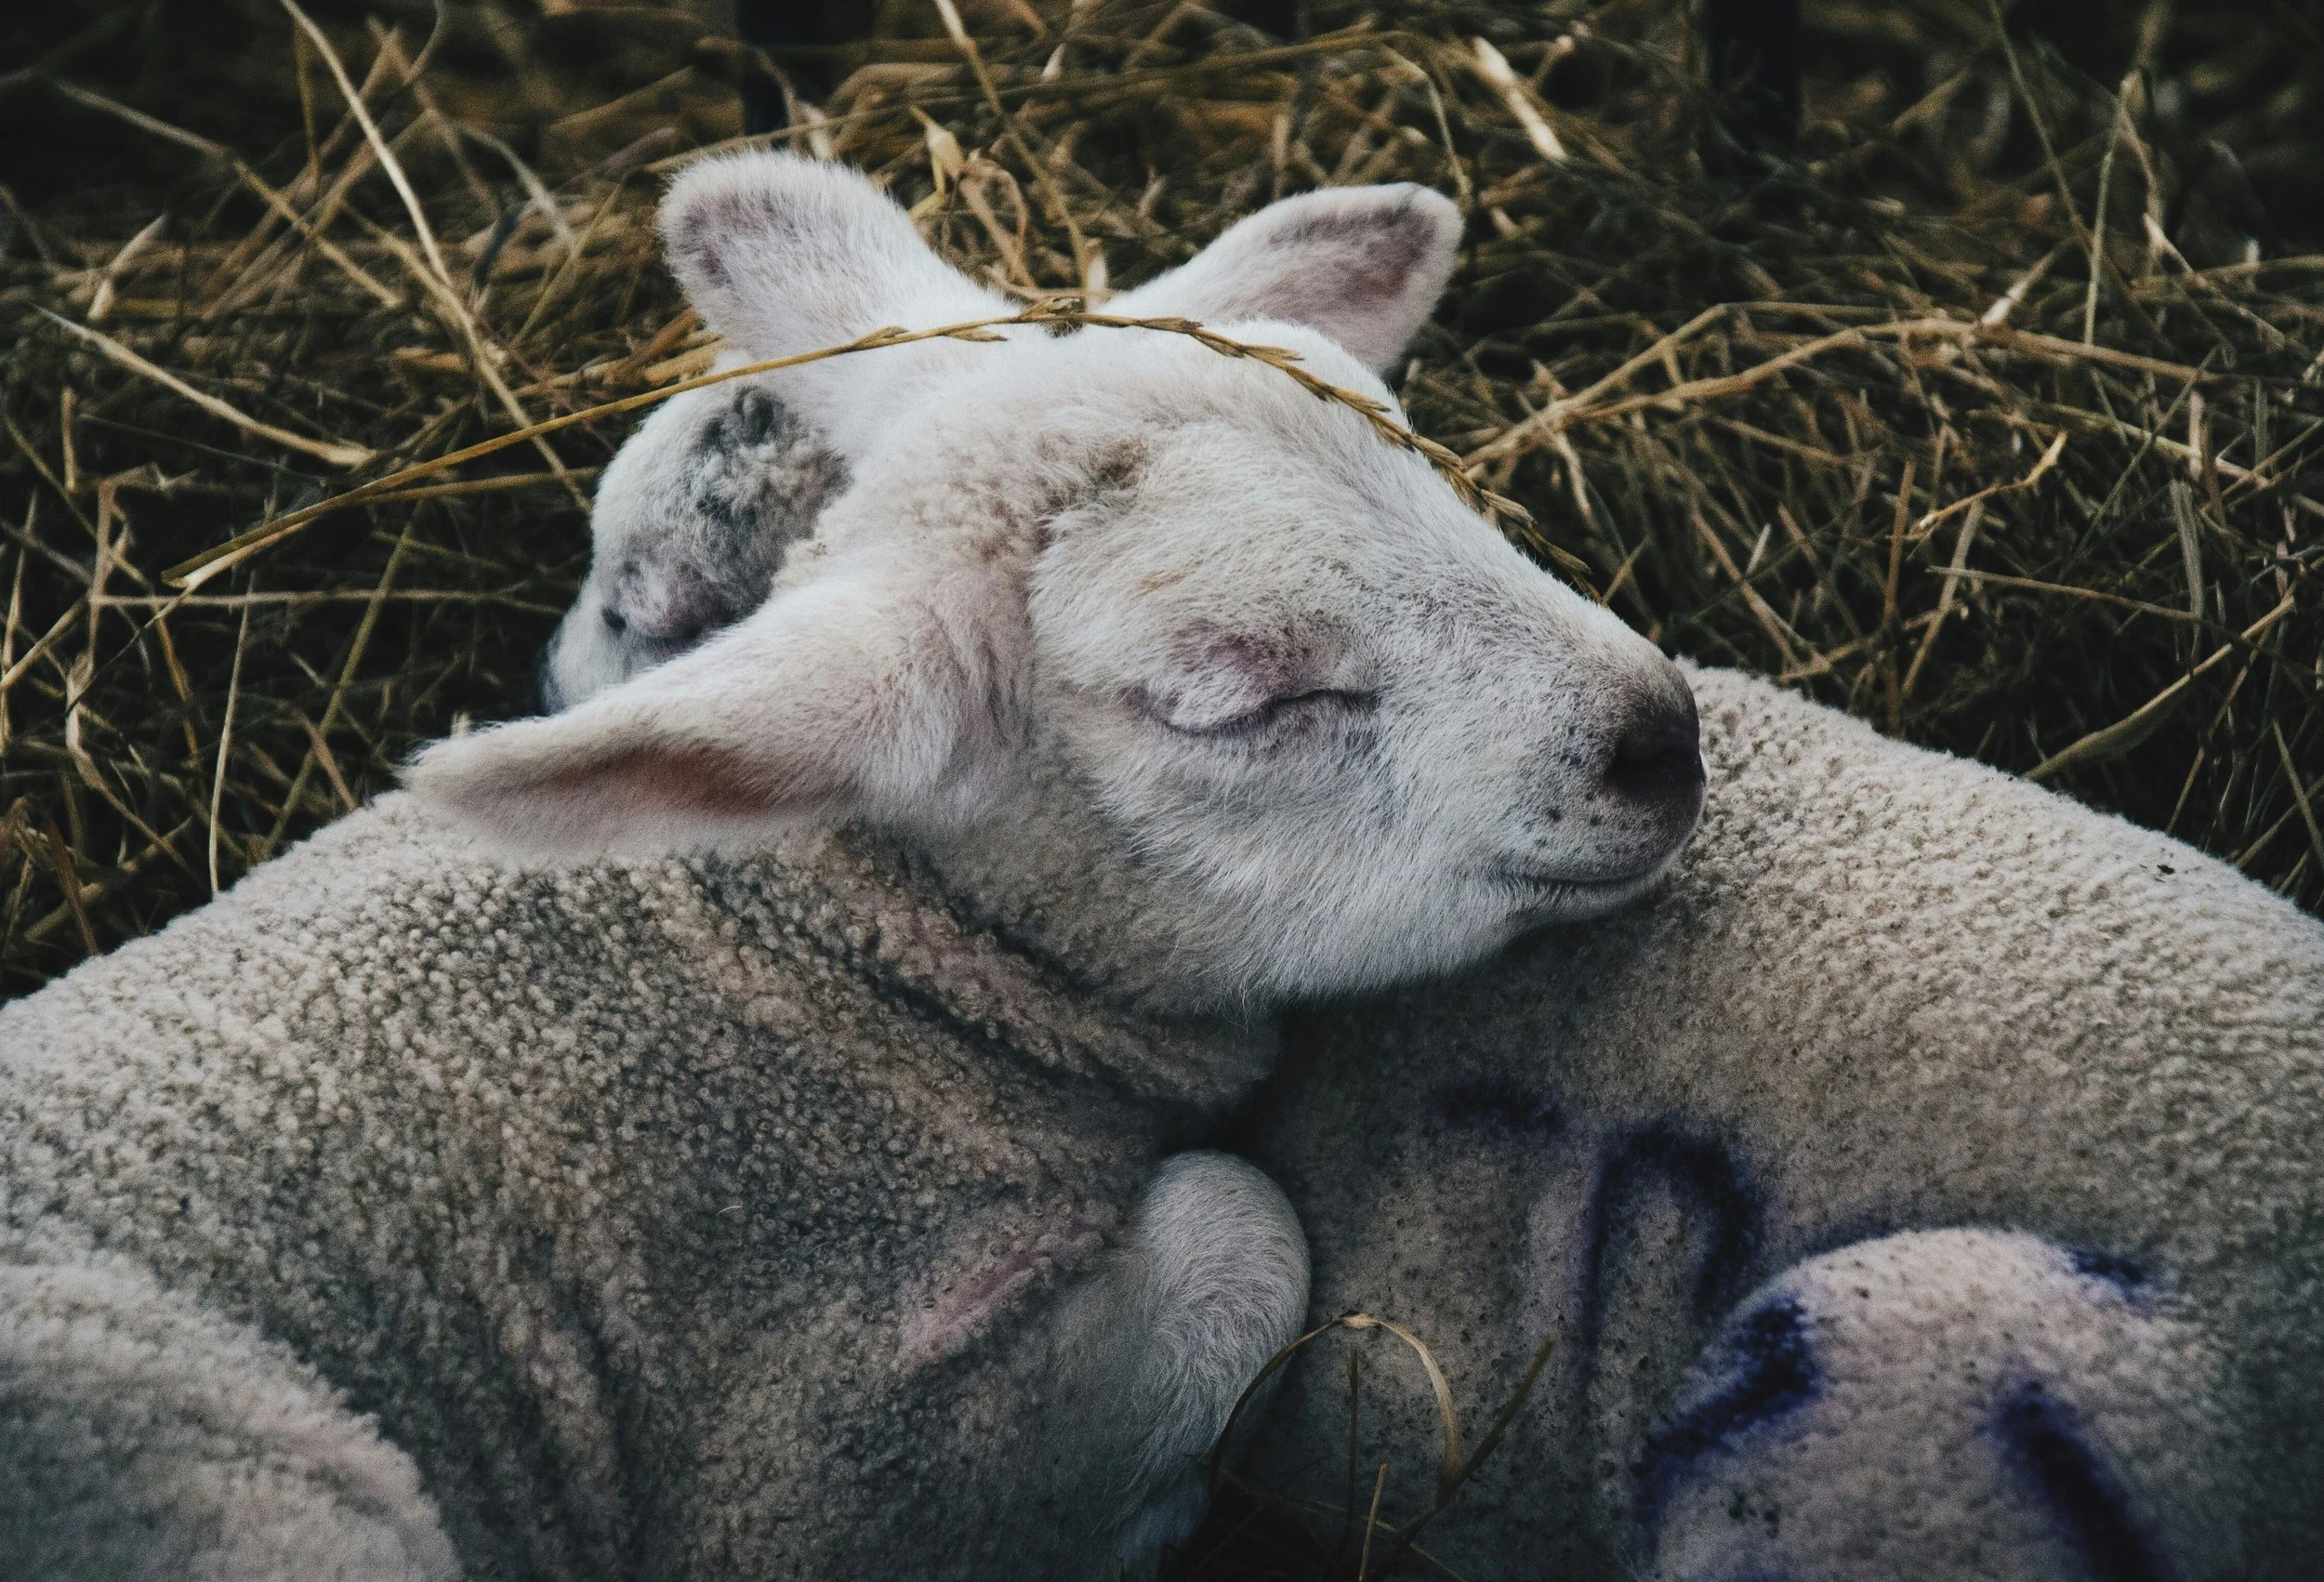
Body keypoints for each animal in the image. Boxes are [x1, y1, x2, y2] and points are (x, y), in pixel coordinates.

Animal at [0, 153, 1708, 1581]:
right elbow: (1243, 1222)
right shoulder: (814, 1475)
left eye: (1428, 469)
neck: (824, 953)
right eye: (1238, 695)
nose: (1664, 735)